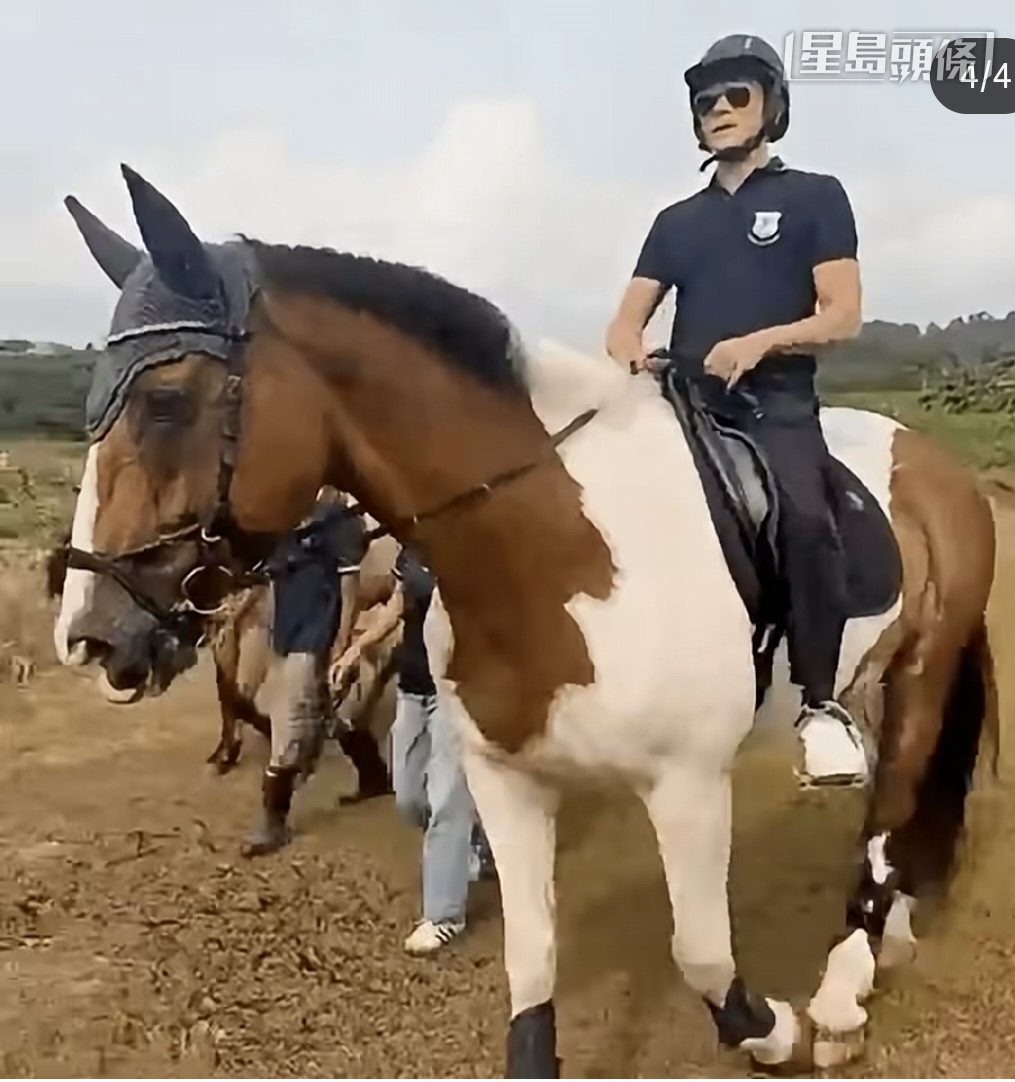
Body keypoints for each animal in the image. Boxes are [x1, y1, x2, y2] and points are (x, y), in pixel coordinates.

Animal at [54, 165, 998, 1076]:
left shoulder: (688, 782)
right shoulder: (507, 782)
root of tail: (936, 464)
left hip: (922, 670)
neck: (556, 553)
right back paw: (885, 935)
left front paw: (779, 1032)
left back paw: (841, 994)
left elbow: (701, 956)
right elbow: (532, 964)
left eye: (167, 400)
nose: (90, 635)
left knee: (888, 810)